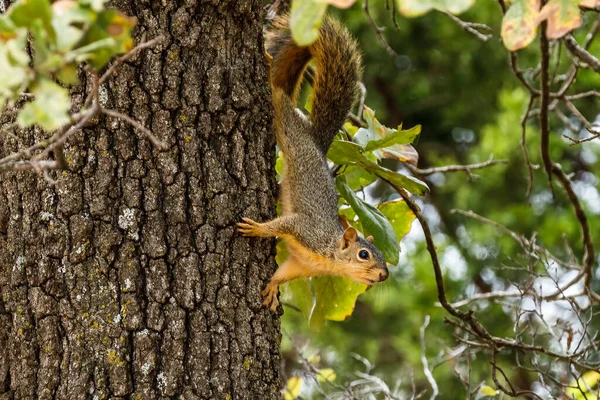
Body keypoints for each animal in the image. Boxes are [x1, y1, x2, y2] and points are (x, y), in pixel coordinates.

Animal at [236, 14, 390, 310]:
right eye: (364, 254)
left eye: (382, 256)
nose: (384, 275)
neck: (330, 256)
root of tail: (316, 145)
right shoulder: (306, 231)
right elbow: (281, 224)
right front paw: (258, 228)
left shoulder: (302, 265)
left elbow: (284, 273)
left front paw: (272, 287)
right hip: (289, 125)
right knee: (279, 98)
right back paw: (268, 68)